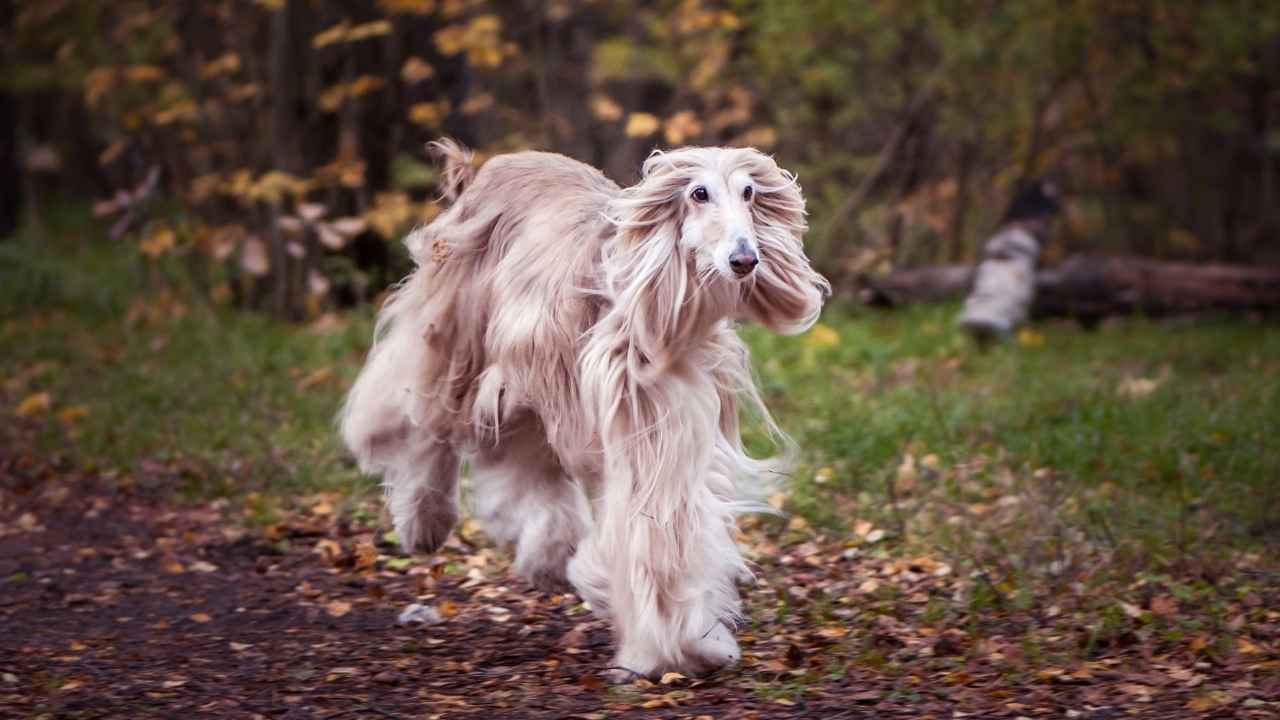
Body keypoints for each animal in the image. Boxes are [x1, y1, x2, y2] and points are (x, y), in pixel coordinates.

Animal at [340, 140, 829, 676]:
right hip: (458, 331)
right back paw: (424, 521)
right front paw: (666, 639)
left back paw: (547, 558)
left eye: (749, 192)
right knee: (419, 416)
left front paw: (691, 640)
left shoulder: (660, 422)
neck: (653, 304)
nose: (745, 259)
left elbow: (661, 520)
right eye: (699, 193)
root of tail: (496, 165)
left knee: (522, 468)